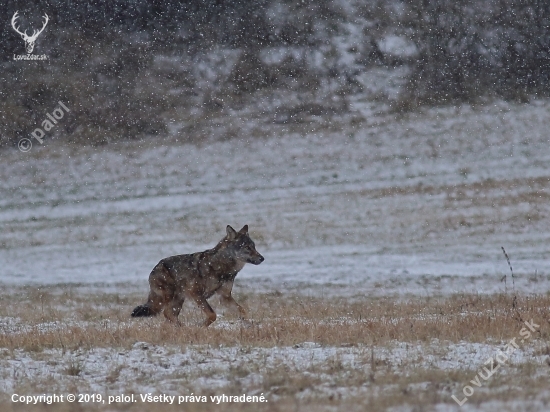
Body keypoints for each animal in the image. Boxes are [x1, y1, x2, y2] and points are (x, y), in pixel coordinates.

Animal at [132, 225, 266, 326]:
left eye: (254, 246)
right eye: (247, 247)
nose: (262, 258)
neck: (221, 267)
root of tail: (154, 268)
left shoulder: (225, 297)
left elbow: (242, 311)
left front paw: (250, 326)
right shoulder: (196, 294)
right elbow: (212, 314)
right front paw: (200, 326)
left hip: (179, 300)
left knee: (168, 315)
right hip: (170, 297)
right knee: (166, 313)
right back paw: (184, 328)